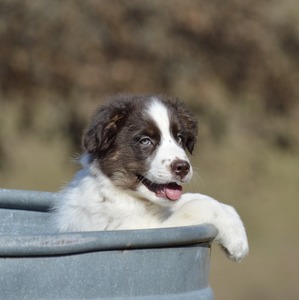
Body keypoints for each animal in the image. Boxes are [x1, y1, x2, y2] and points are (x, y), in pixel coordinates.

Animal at [53, 95, 248, 262]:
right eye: (145, 141)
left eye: (179, 138)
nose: (183, 168)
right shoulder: (137, 230)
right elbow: (197, 206)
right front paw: (237, 240)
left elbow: (194, 198)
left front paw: (233, 220)